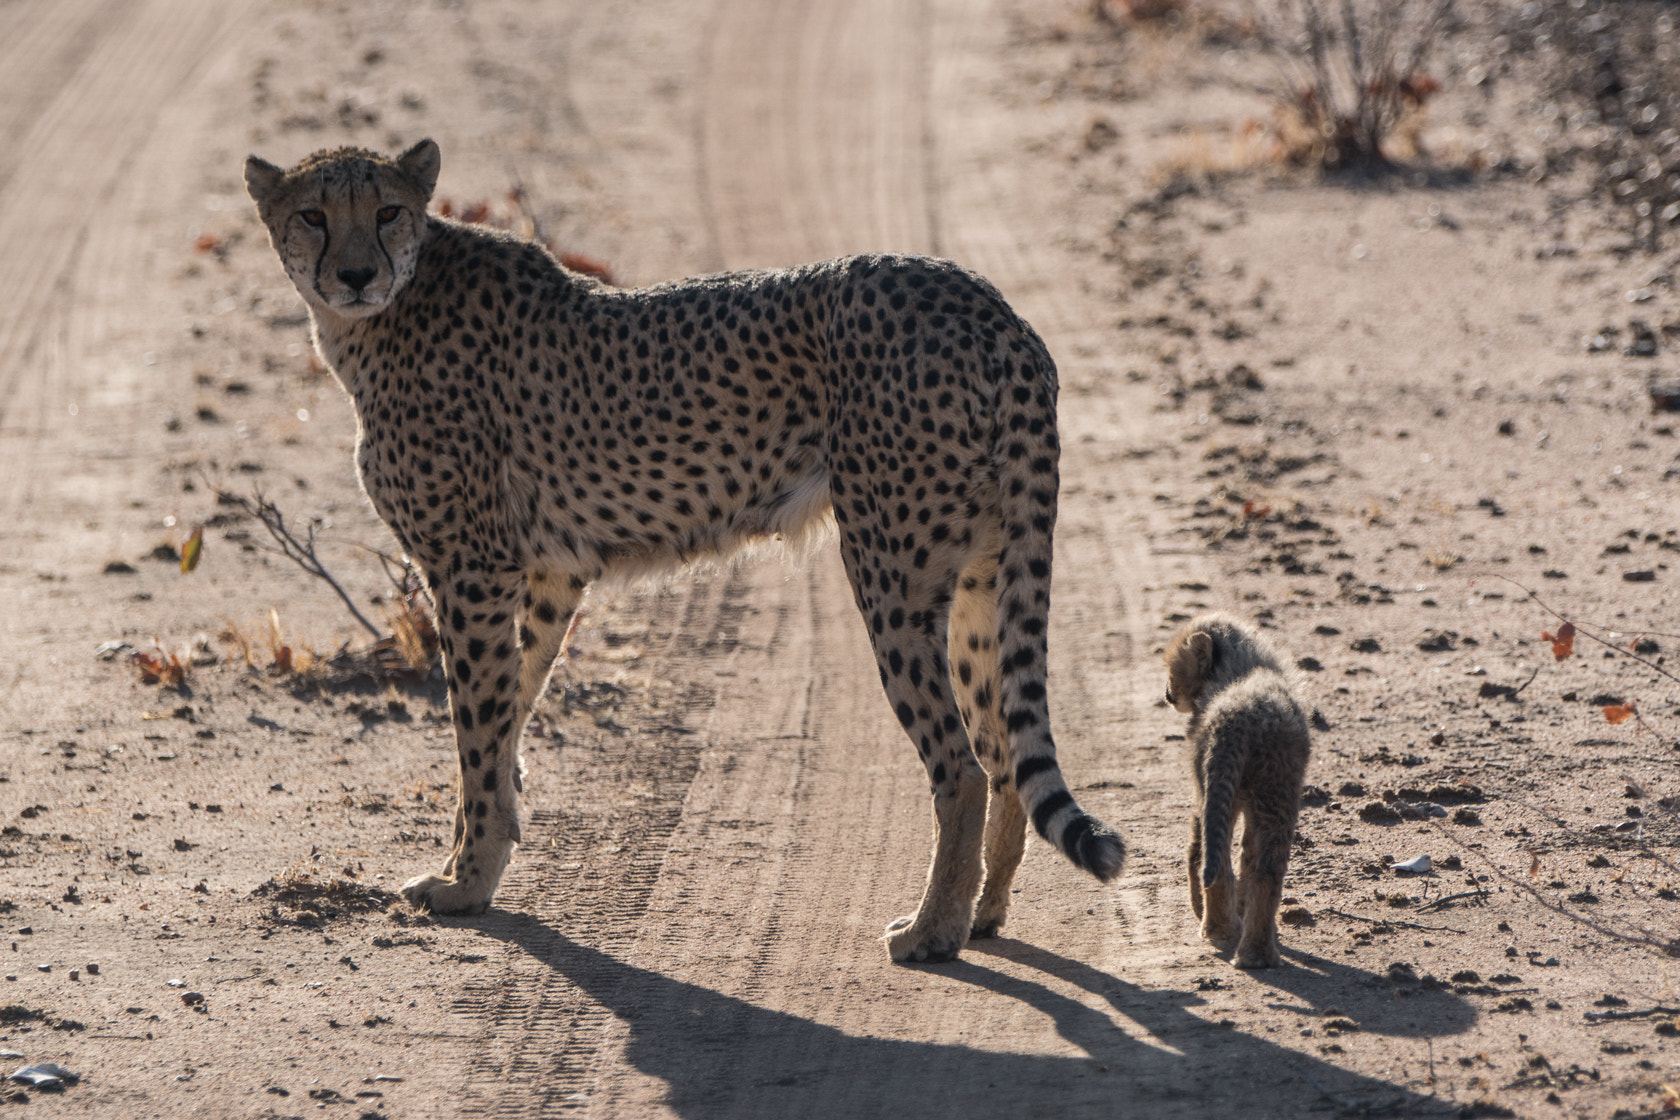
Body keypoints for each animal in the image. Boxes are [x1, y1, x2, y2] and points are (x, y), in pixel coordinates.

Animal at [243, 140, 1122, 967]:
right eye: (313, 215)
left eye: (387, 211)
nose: (357, 274)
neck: (386, 313)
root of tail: (988, 305)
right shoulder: (550, 574)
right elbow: (510, 709)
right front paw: (486, 838)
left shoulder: (473, 569)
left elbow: (479, 729)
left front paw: (468, 881)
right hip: (979, 574)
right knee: (1003, 752)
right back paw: (983, 911)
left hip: (892, 569)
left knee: (962, 764)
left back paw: (932, 930)